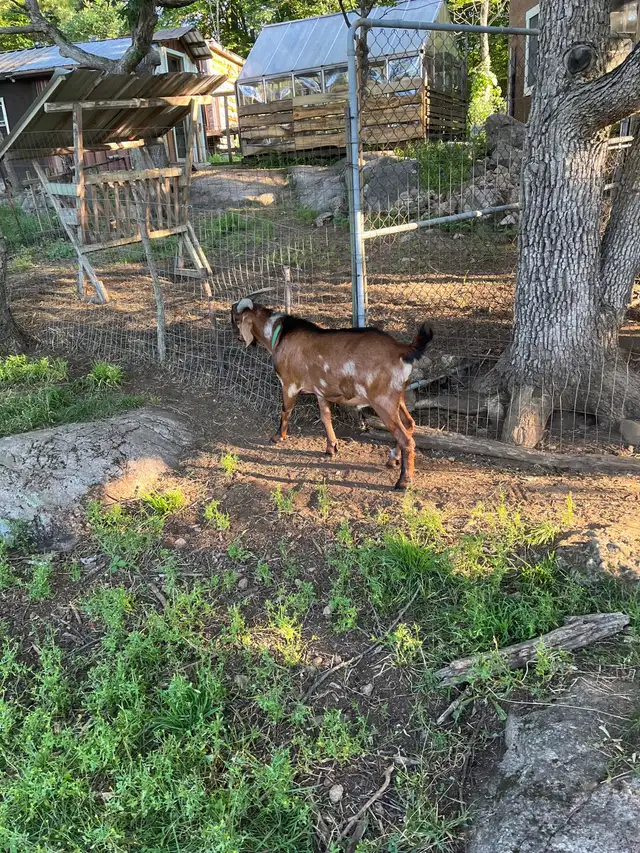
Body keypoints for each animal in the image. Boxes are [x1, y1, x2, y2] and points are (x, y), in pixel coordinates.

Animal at [230, 299, 433, 489]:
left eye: (235, 319)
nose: (237, 338)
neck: (279, 334)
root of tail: (402, 349)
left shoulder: (289, 384)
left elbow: (285, 411)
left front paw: (277, 437)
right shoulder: (321, 391)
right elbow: (325, 416)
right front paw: (331, 447)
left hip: (383, 401)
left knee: (406, 439)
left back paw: (403, 481)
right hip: (398, 396)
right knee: (409, 423)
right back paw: (393, 459)